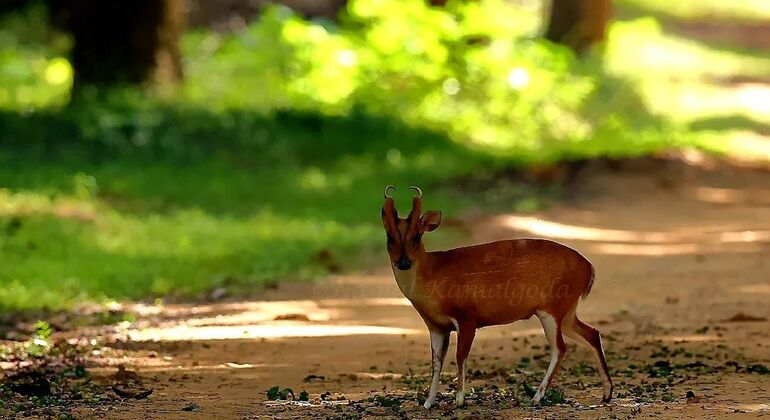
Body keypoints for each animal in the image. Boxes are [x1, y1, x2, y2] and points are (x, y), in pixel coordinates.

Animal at [380, 186, 612, 406]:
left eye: (416, 237)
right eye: (389, 237)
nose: (403, 263)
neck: (432, 274)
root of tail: (589, 269)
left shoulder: (467, 316)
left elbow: (460, 356)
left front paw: (459, 400)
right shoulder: (435, 325)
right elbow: (436, 362)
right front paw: (428, 402)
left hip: (553, 307)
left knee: (560, 348)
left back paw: (536, 397)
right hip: (567, 310)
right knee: (592, 333)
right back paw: (606, 393)